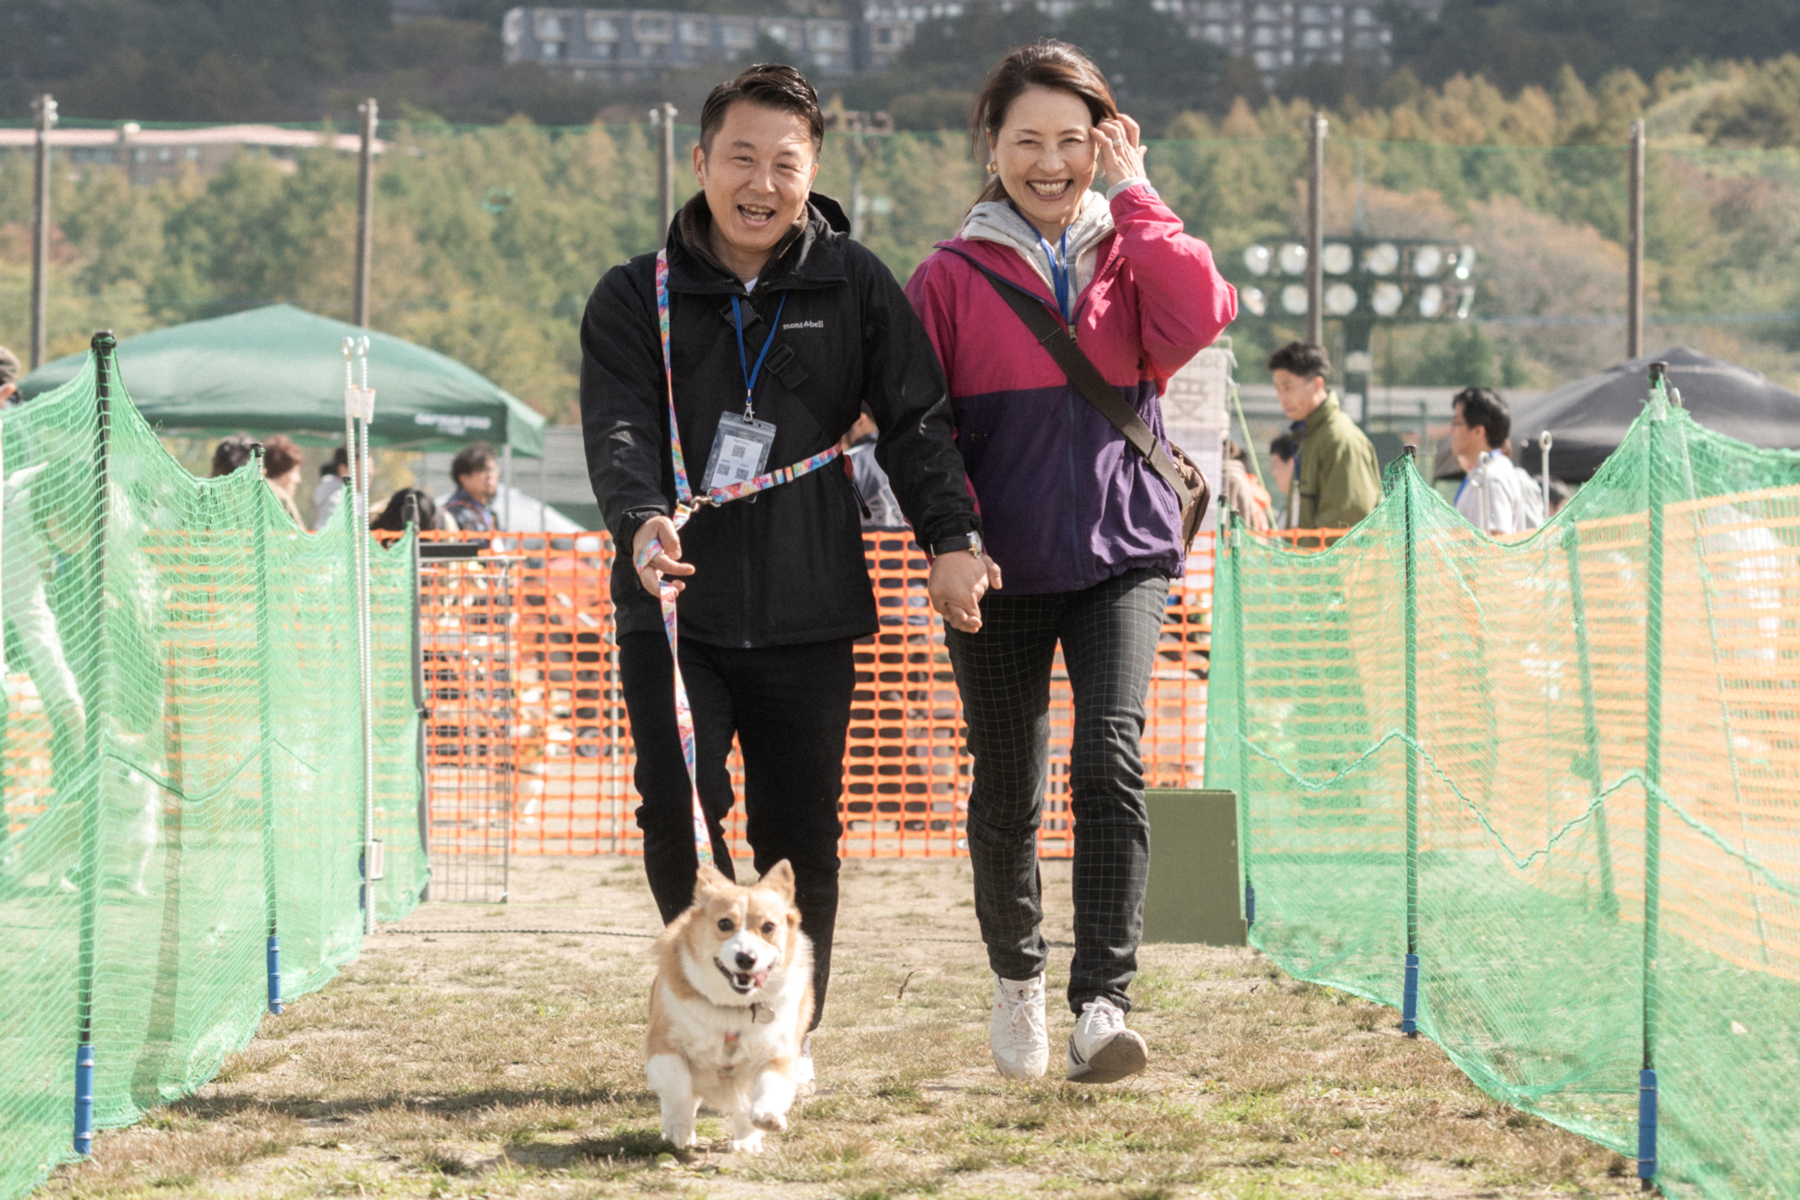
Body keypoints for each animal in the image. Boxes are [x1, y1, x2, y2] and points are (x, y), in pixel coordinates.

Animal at [648, 863, 817, 1151]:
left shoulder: (777, 1052)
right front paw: (678, 1128)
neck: (733, 1008)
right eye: (724, 923)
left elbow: (769, 1085)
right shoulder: (663, 1045)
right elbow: (677, 1085)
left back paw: (747, 1141)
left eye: (768, 926)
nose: (746, 958)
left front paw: (766, 1118)